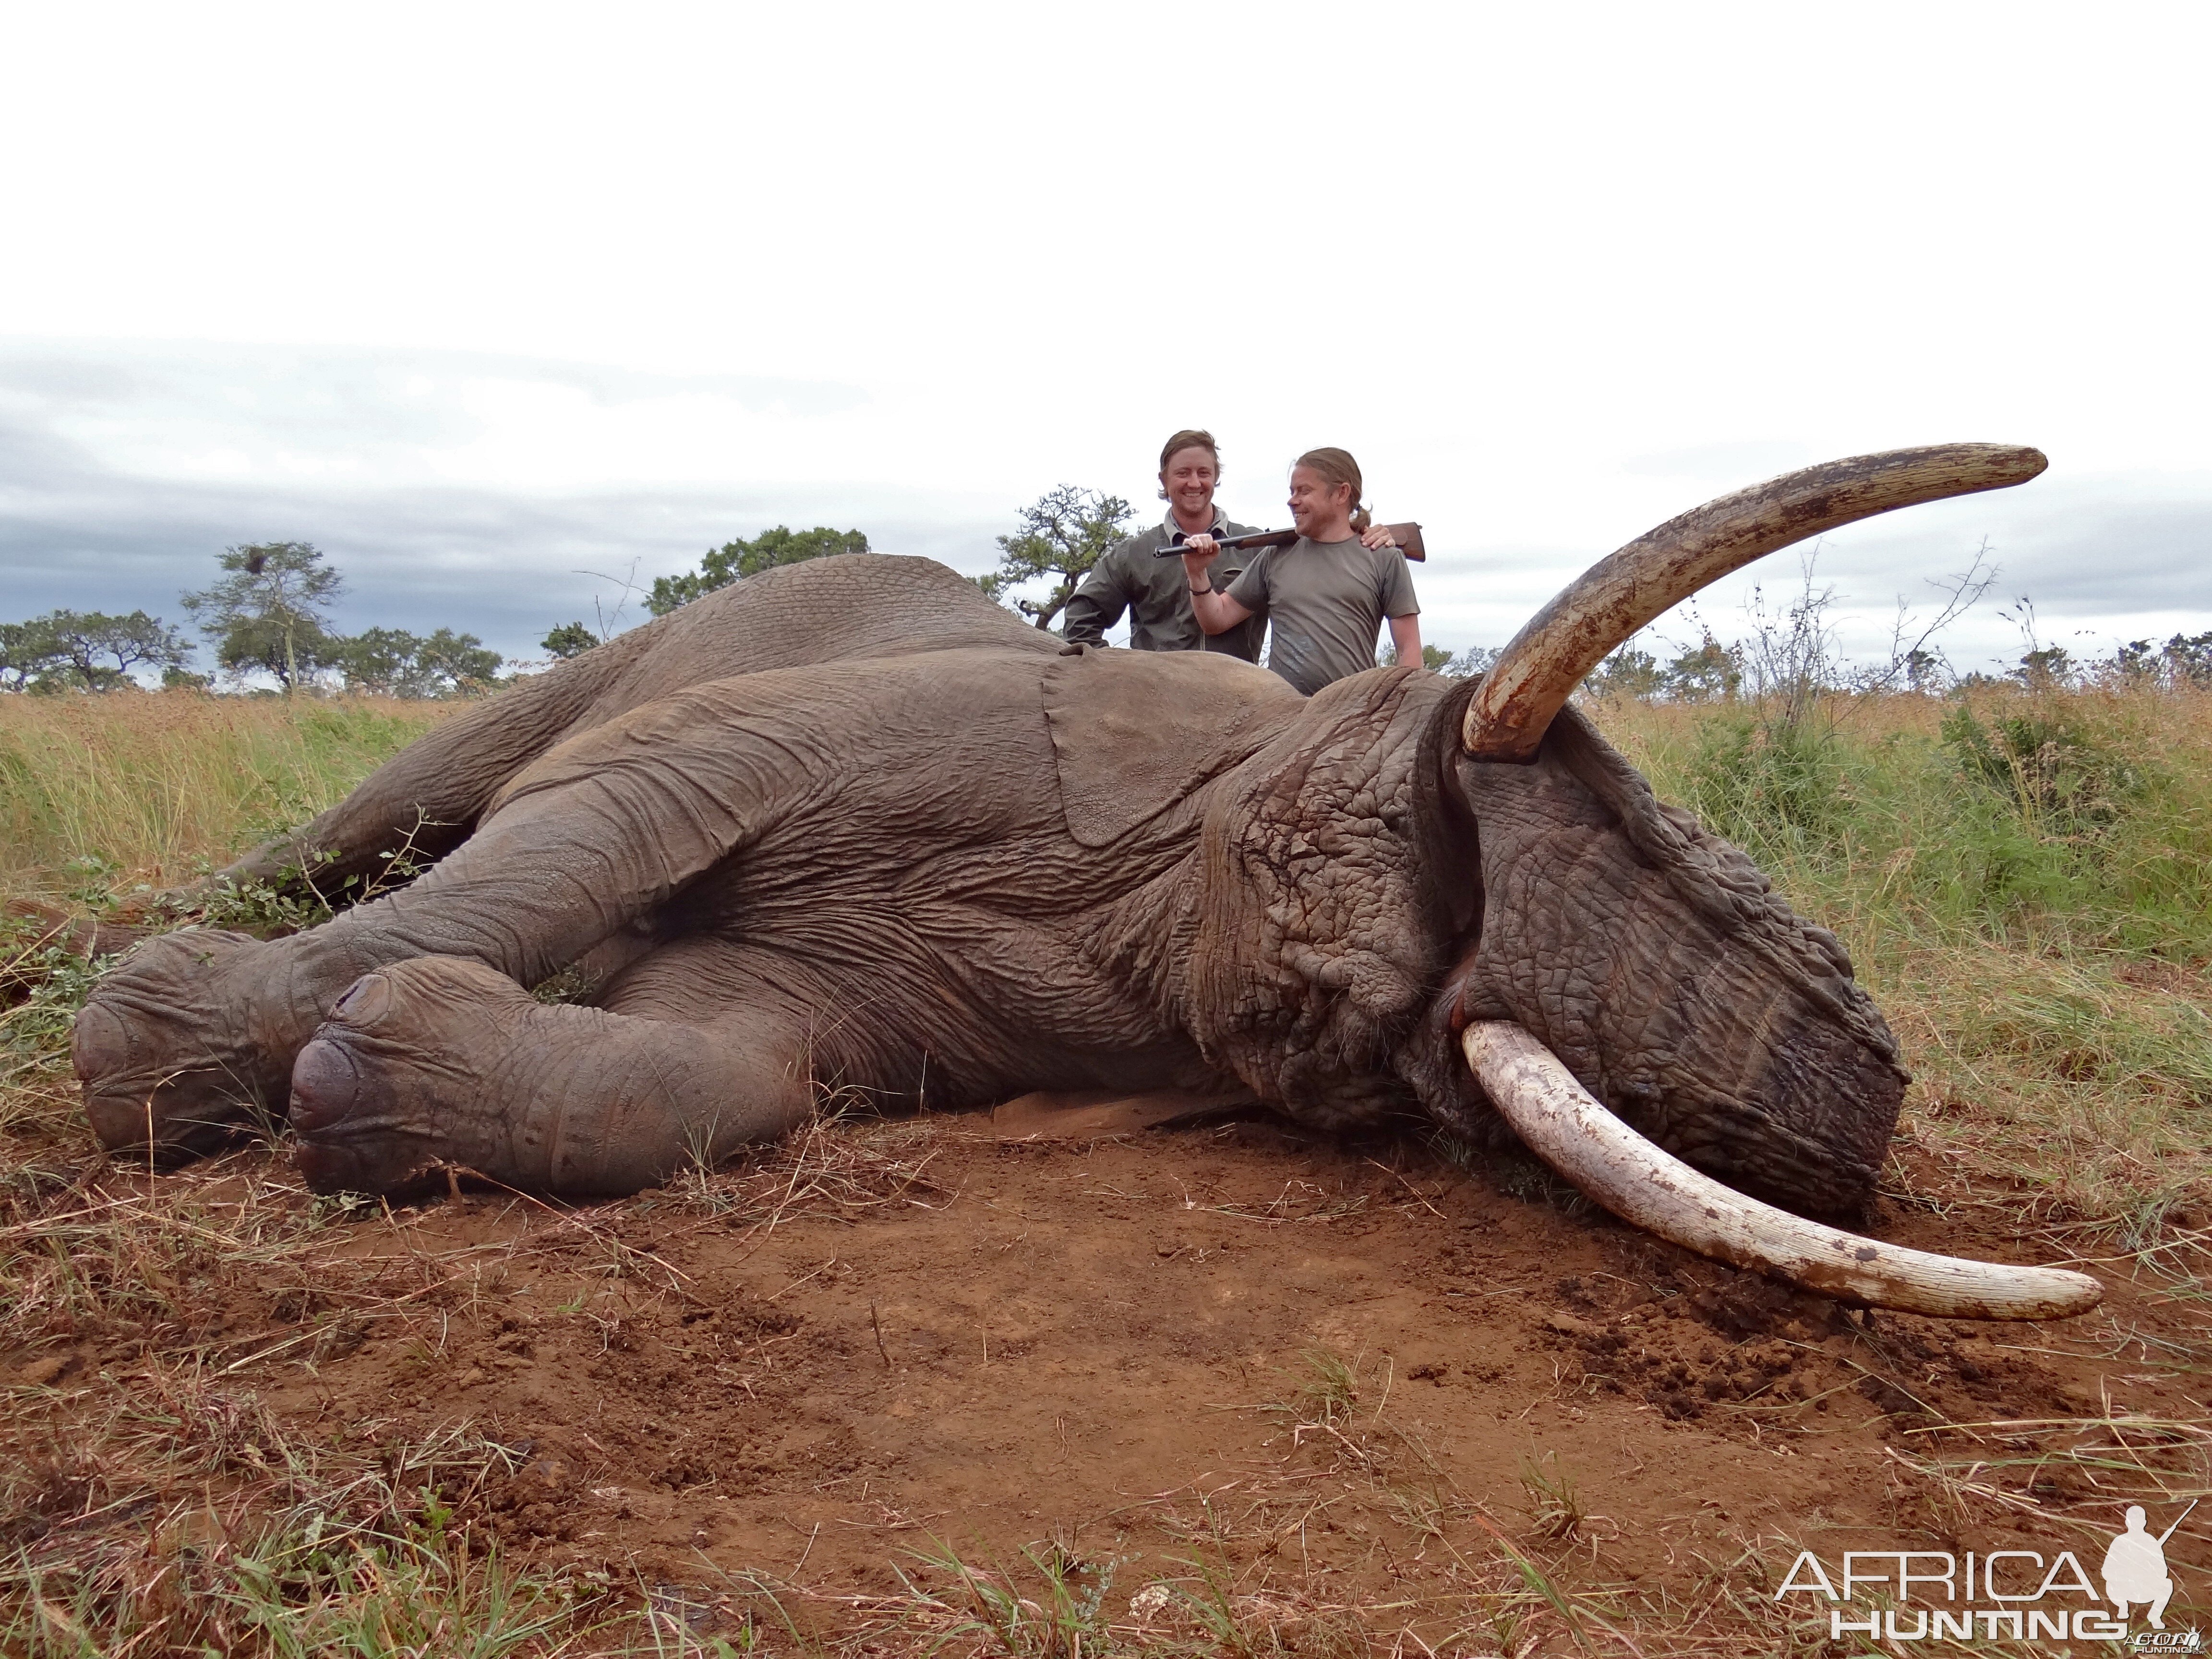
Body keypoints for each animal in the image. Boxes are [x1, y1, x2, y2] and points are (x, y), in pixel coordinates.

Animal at [78, 445, 2097, 1327]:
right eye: (1427, 798)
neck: (1165, 847)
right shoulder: (906, 724)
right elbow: (623, 809)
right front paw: (157, 1062)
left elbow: (720, 1067)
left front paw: (367, 1081)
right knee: (409, 806)